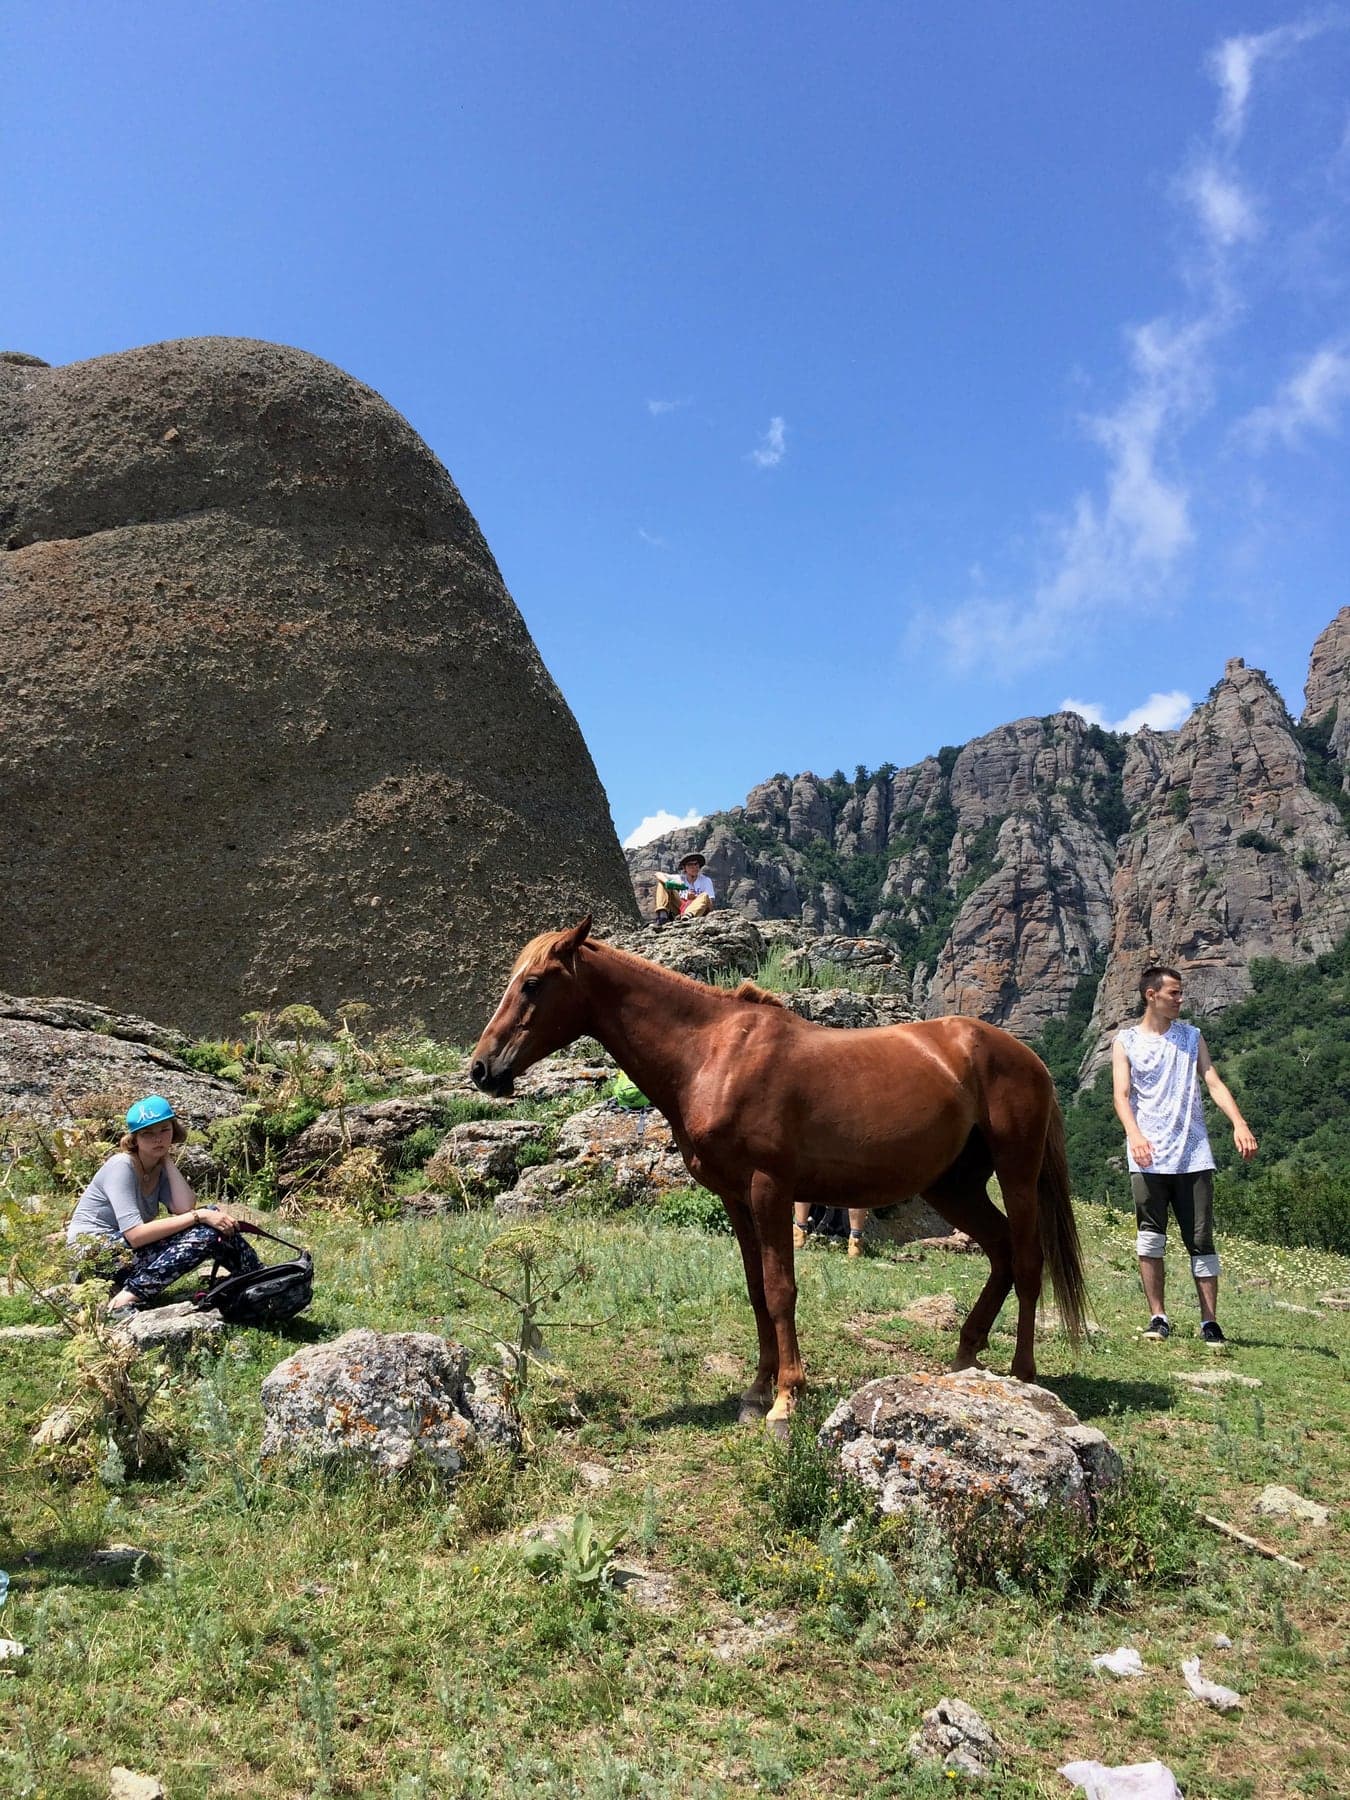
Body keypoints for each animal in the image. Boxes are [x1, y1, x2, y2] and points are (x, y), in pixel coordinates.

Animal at [471, 917, 1087, 1433]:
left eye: (532, 984)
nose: (481, 1069)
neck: (714, 1054)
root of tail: (1025, 1057)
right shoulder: (736, 1198)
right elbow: (755, 1291)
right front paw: (756, 1391)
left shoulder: (770, 1189)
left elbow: (780, 1288)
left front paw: (787, 1399)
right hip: (951, 1186)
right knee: (1000, 1250)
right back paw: (963, 1361)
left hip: (1016, 1173)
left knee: (1027, 1262)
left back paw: (1023, 1375)